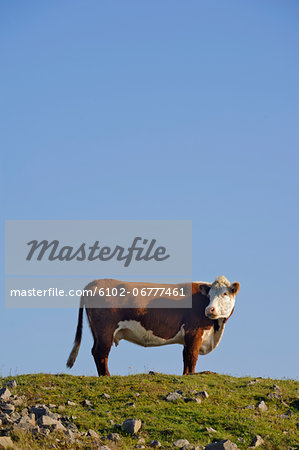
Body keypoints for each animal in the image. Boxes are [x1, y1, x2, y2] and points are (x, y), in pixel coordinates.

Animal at [67, 274, 240, 376]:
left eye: (225, 293)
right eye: (209, 295)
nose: (209, 309)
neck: (215, 331)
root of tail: (93, 283)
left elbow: (185, 358)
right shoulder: (194, 332)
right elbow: (191, 357)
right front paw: (190, 375)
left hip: (97, 331)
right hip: (105, 330)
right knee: (100, 353)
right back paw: (107, 377)